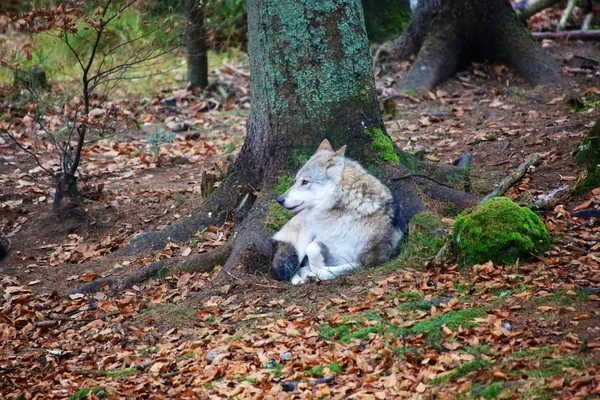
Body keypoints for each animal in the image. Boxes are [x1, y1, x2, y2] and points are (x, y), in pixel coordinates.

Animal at [270, 140, 408, 284]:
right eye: (296, 181)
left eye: (305, 182)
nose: (279, 199)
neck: (344, 212)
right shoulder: (322, 238)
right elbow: (312, 248)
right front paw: (316, 266)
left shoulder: (367, 262)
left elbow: (324, 271)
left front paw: (317, 270)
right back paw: (299, 279)